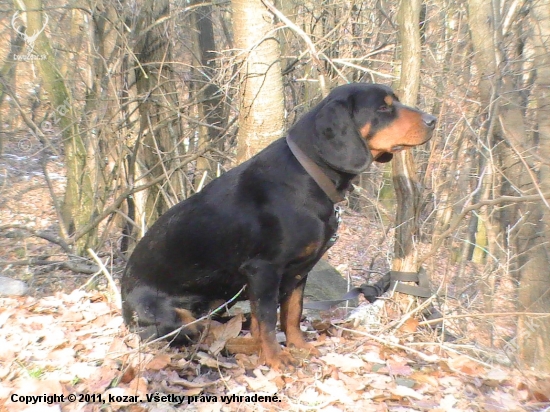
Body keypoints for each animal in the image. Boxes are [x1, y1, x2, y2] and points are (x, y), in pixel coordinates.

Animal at [121, 83, 436, 370]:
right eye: (383, 107)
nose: (433, 120)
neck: (309, 176)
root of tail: (124, 310)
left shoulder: (298, 272)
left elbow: (292, 314)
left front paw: (299, 346)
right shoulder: (263, 270)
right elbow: (268, 320)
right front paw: (275, 358)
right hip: (175, 317)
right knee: (202, 334)